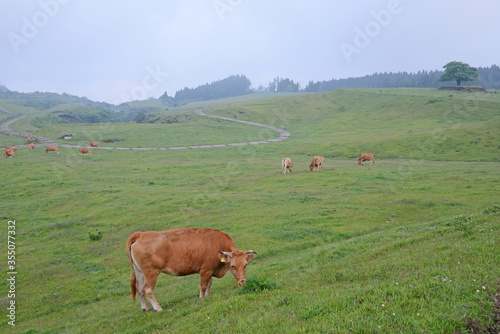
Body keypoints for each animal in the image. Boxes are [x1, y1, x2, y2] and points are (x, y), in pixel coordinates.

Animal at [127, 228, 256, 312]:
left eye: (245, 265)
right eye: (233, 266)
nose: (242, 282)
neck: (217, 242)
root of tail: (140, 235)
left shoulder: (210, 270)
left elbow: (209, 284)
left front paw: (208, 295)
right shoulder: (205, 270)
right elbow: (203, 285)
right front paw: (202, 298)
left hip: (140, 272)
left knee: (139, 289)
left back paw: (145, 307)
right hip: (151, 273)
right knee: (148, 290)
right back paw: (158, 308)